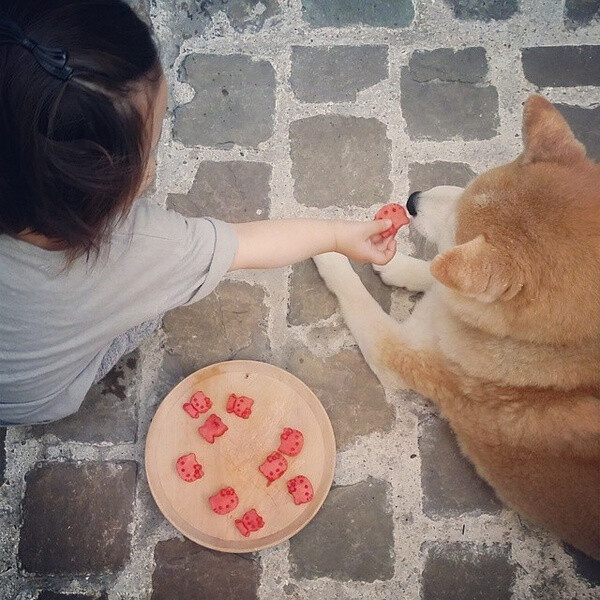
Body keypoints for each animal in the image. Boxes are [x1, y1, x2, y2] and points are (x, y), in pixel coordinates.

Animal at [314, 96, 600, 560]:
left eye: (456, 226)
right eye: (467, 187)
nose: (412, 199)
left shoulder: (399, 354)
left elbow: (363, 294)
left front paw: (332, 251)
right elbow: (439, 274)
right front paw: (399, 265)